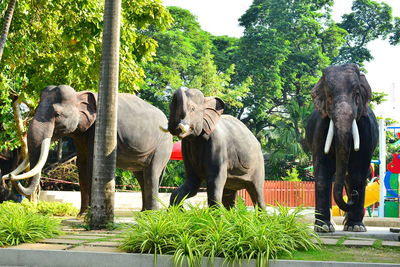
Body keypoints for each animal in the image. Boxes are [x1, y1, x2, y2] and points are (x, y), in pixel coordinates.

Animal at [2, 85, 173, 215]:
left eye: (57, 114)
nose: (8, 176)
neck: (79, 95)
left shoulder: (97, 129)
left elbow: (91, 163)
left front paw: (87, 214)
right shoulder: (81, 134)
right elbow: (82, 164)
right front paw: (82, 215)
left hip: (163, 145)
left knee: (151, 173)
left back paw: (151, 214)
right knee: (141, 175)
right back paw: (143, 213)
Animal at [306, 63, 378, 233]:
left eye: (357, 93)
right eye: (329, 96)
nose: (355, 195)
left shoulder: (366, 130)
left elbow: (358, 172)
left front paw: (356, 227)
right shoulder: (320, 129)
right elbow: (322, 172)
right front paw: (323, 228)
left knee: (351, 178)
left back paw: (350, 225)